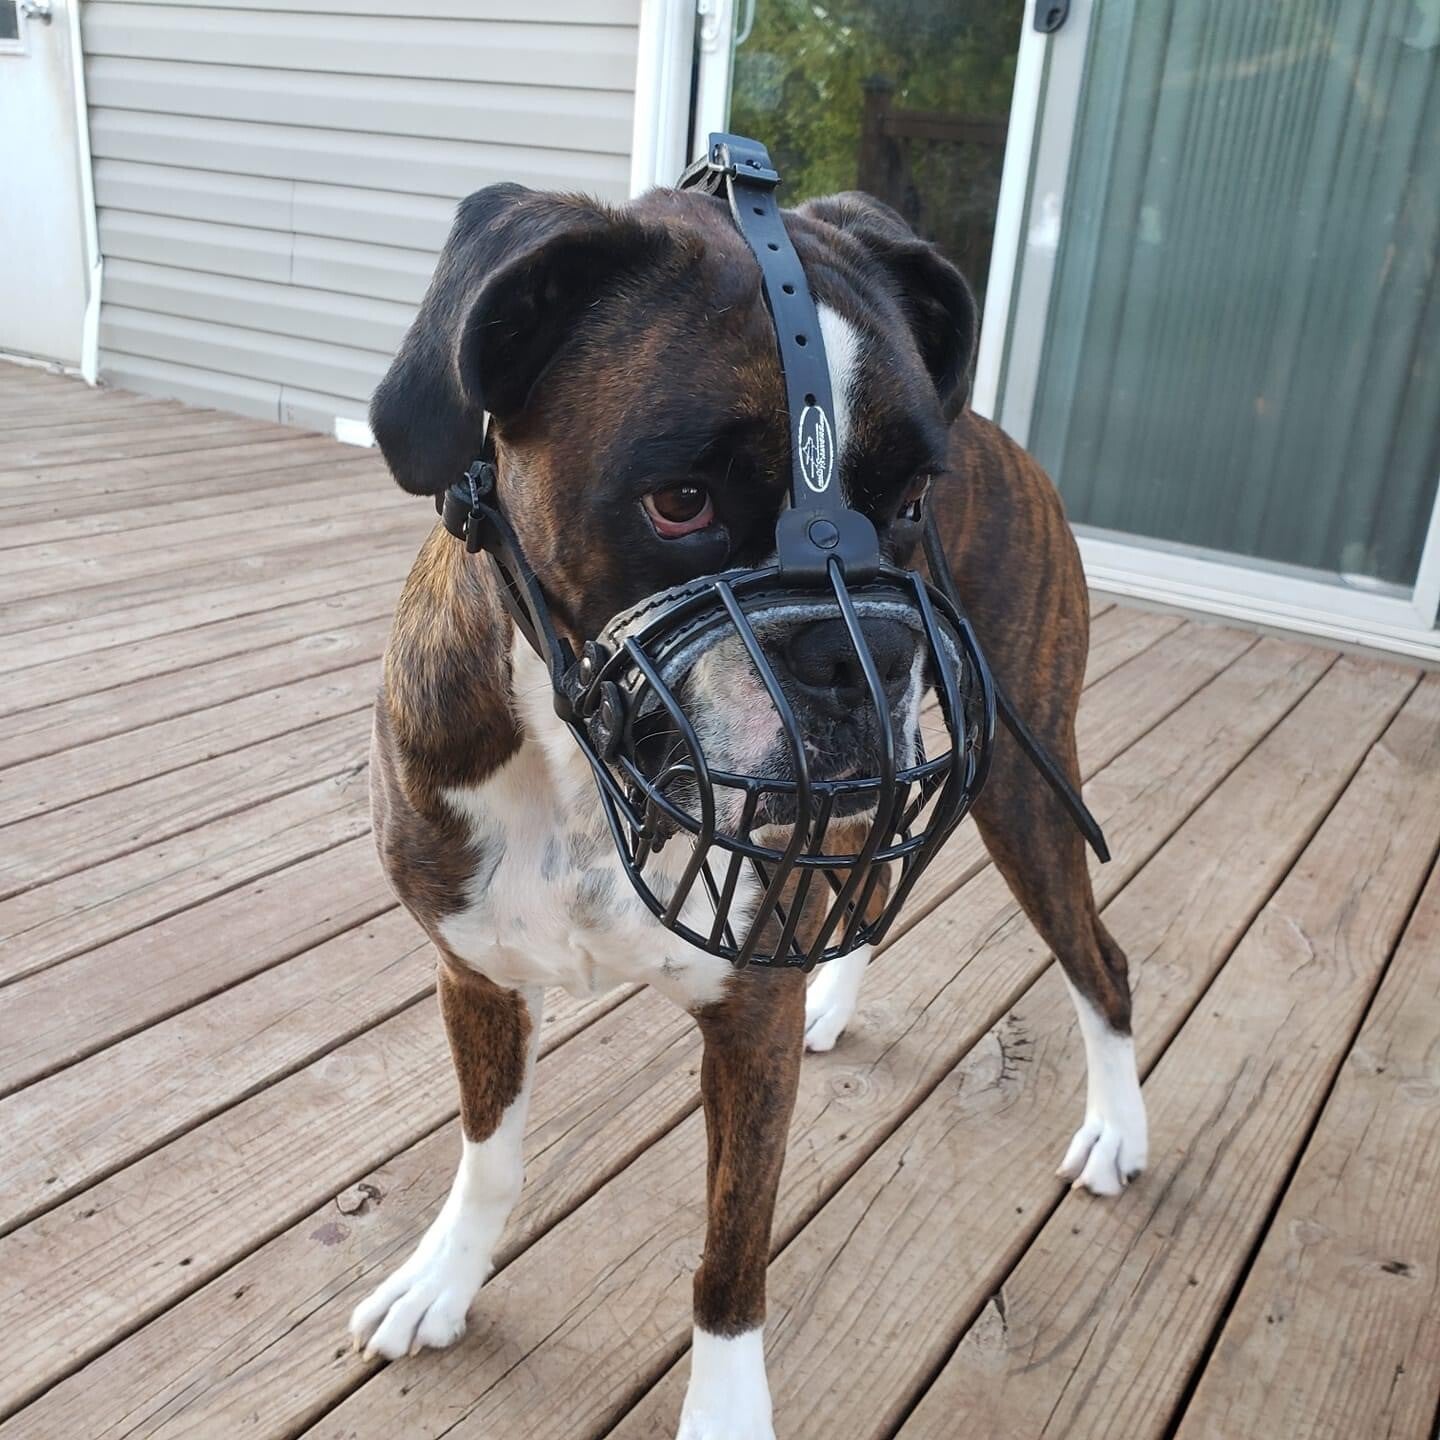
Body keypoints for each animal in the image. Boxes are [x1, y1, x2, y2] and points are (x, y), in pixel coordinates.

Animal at [347, 179, 1149, 1439]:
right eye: (681, 503)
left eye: (912, 500)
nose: (864, 650)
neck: (591, 774)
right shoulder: (476, 974)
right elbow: (490, 1155)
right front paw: (446, 1275)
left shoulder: (745, 1029)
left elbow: (730, 1259)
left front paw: (722, 1412)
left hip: (1024, 788)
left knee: (1099, 964)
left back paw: (1118, 1129)